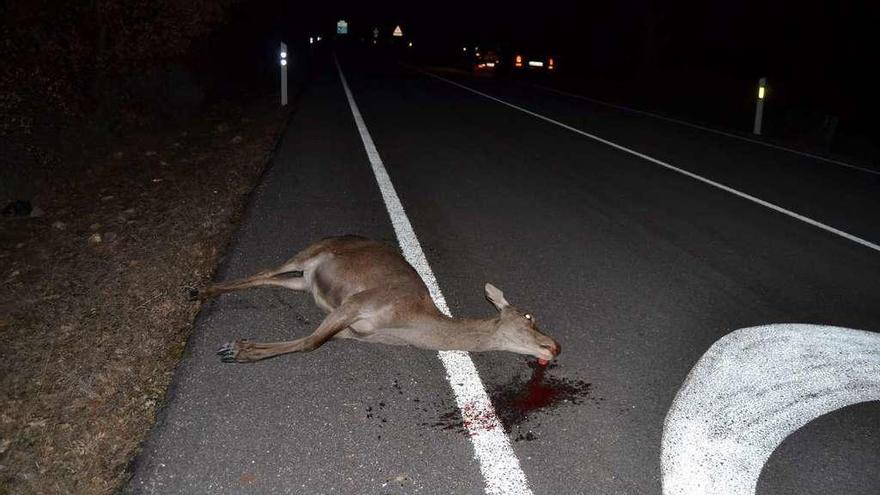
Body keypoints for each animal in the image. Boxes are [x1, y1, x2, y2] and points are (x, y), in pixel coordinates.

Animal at [193, 236, 564, 364]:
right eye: (529, 317)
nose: (556, 346)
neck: (404, 323)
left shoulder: (354, 331)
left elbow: (313, 340)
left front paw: (238, 348)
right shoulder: (358, 302)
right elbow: (311, 342)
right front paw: (237, 350)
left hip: (303, 283)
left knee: (269, 277)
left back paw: (203, 290)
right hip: (311, 250)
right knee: (268, 268)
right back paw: (201, 289)